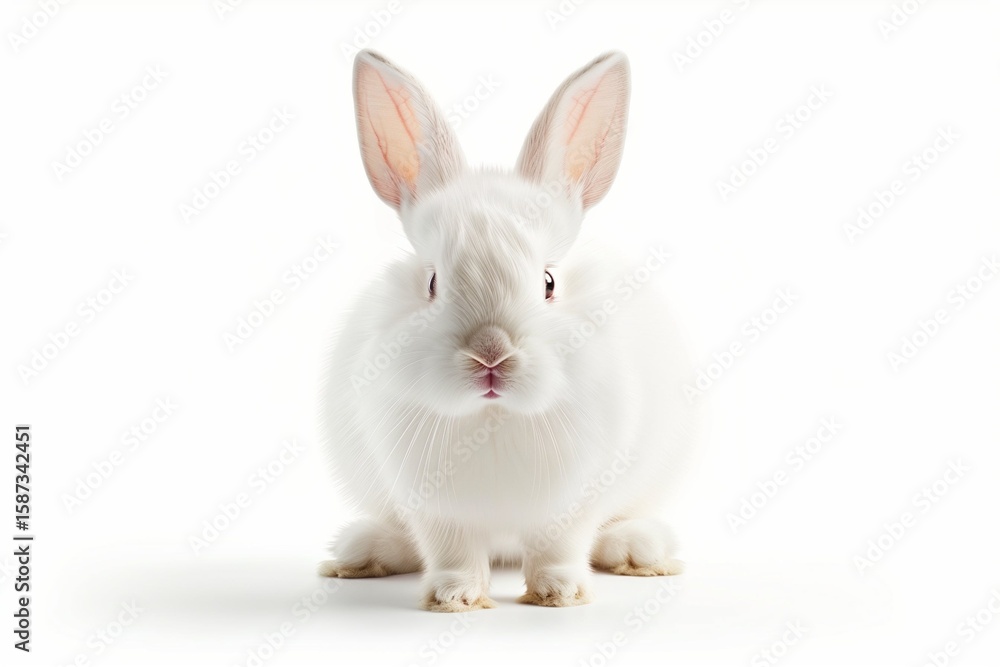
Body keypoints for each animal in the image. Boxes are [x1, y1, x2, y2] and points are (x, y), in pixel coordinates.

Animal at [318, 49, 702, 612]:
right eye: (432, 281)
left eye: (548, 282)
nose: (490, 355)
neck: (493, 419)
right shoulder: (434, 507)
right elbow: (451, 551)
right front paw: (454, 596)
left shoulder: (573, 500)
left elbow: (560, 545)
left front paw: (560, 592)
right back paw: (364, 550)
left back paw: (637, 549)